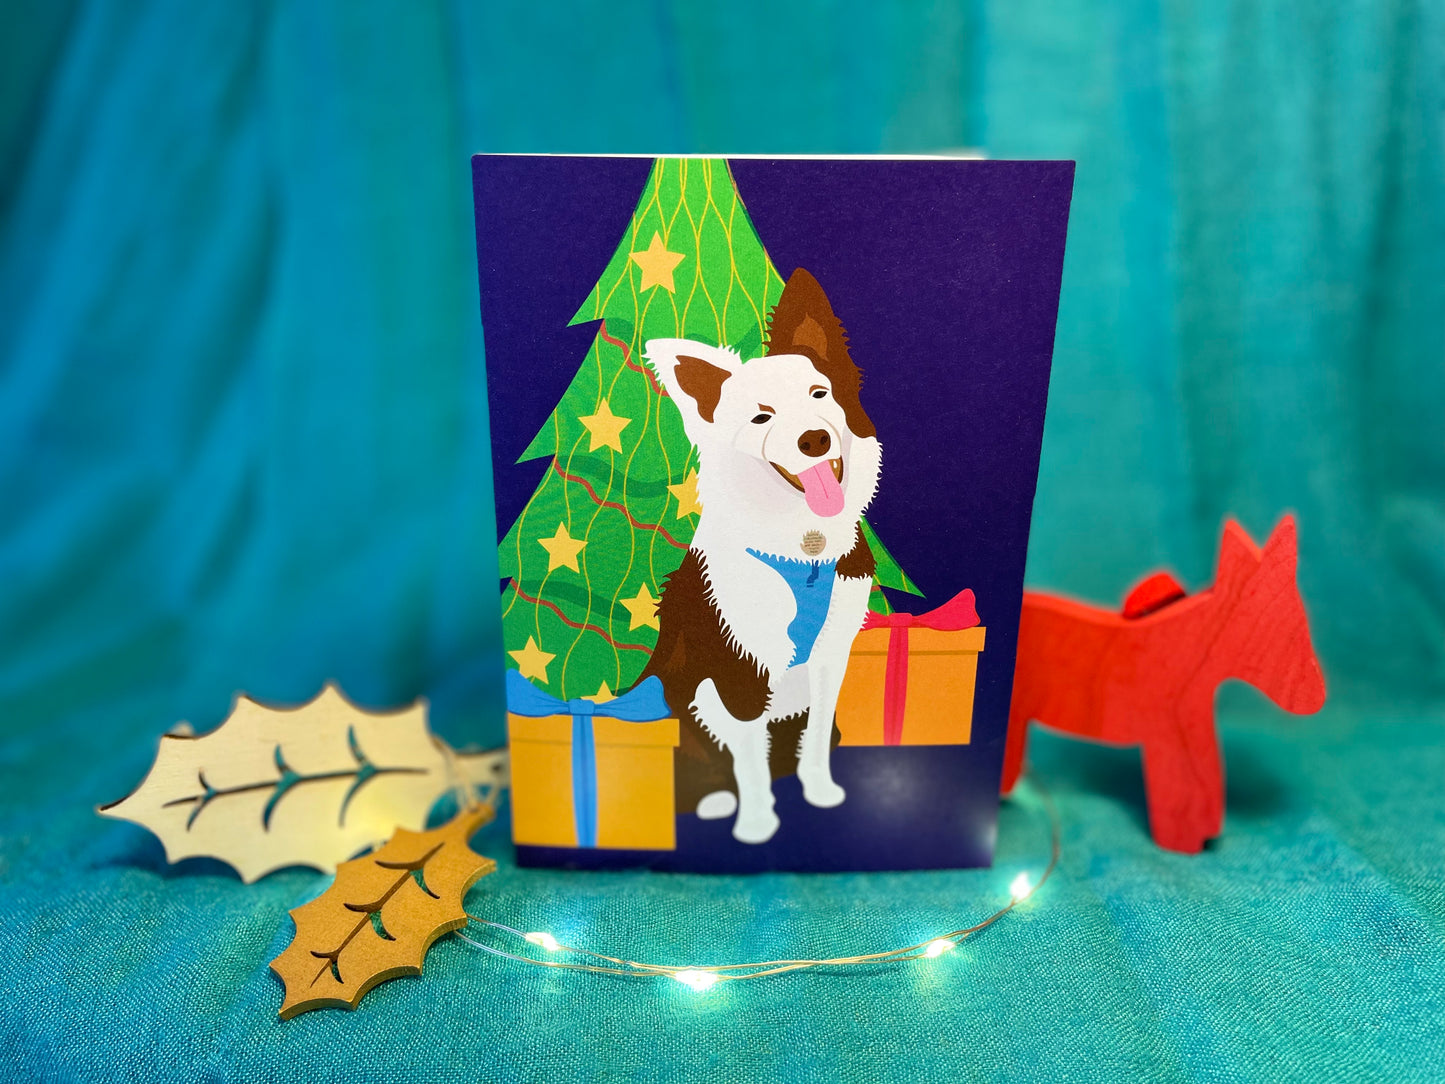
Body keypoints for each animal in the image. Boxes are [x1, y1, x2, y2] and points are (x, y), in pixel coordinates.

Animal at [644, 267, 878, 844]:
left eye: (820, 393)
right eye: (760, 418)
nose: (814, 440)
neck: (802, 547)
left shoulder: (831, 658)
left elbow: (814, 737)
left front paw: (821, 792)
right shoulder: (738, 670)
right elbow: (749, 761)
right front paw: (756, 825)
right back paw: (713, 800)